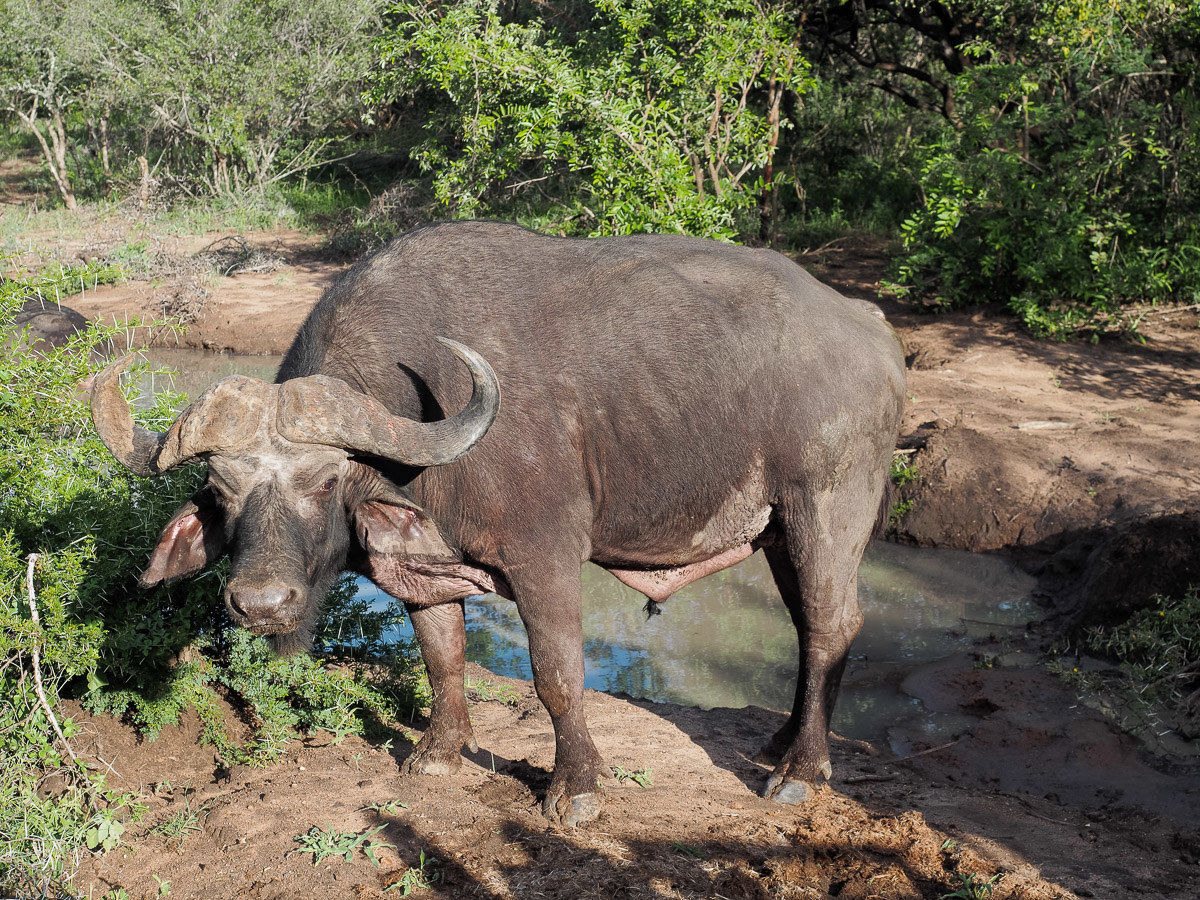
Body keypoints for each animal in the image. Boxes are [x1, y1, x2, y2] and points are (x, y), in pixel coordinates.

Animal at [90, 221, 905, 825]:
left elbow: (557, 674)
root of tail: (869, 329)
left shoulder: (546, 559)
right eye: (220, 491)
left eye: (323, 483)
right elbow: (443, 658)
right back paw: (783, 741)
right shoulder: (420, 570)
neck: (426, 439)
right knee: (808, 625)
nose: (259, 603)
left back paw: (801, 772)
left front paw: (575, 788)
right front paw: (440, 754)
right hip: (779, 532)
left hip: (826, 511)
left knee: (833, 624)